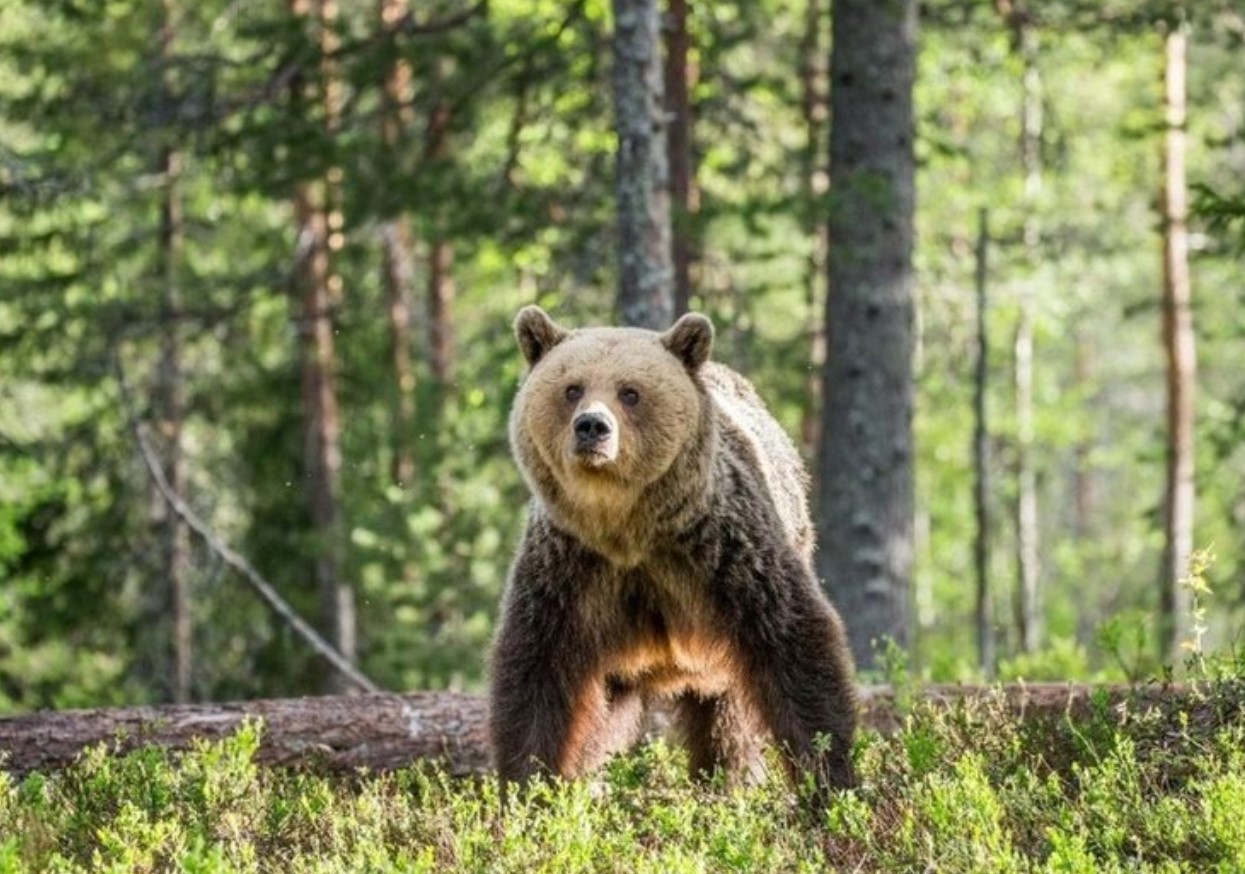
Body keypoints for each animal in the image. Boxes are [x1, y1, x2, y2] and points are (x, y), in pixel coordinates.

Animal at [485, 306, 856, 801]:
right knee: (604, 721)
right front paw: (530, 787)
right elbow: (535, 670)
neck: (628, 529)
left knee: (726, 720)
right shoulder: (569, 570)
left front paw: (831, 782)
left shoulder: (721, 551)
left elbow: (792, 643)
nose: (592, 427)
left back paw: (725, 782)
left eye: (630, 392)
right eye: (572, 388)